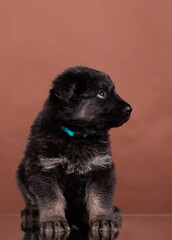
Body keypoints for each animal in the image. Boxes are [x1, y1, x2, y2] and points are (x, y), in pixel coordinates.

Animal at [16, 66, 132, 237]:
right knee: (31, 197)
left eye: (113, 91)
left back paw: (113, 210)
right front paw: (54, 220)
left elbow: (100, 197)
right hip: (22, 171)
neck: (78, 135)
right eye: (101, 93)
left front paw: (103, 218)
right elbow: (52, 199)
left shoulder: (101, 168)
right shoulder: (44, 169)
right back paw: (33, 211)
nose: (129, 109)